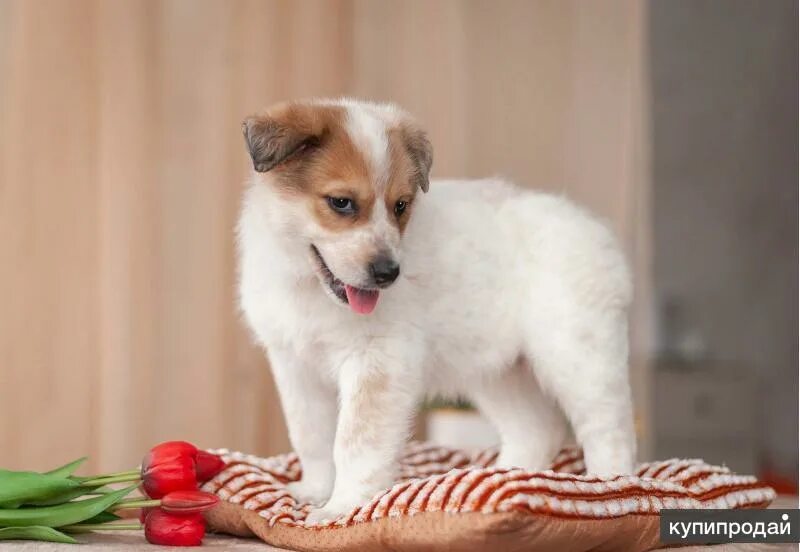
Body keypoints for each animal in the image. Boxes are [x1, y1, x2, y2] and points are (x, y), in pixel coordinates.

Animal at [234, 97, 636, 524]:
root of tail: (597, 232)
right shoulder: (294, 365)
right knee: (537, 430)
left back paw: (611, 486)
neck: (311, 289)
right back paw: (502, 481)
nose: (388, 273)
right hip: (498, 372)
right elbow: (310, 435)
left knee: (608, 428)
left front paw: (342, 507)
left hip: (578, 357)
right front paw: (315, 491)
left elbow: (356, 441)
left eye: (400, 206)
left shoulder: (377, 361)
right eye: (341, 203)